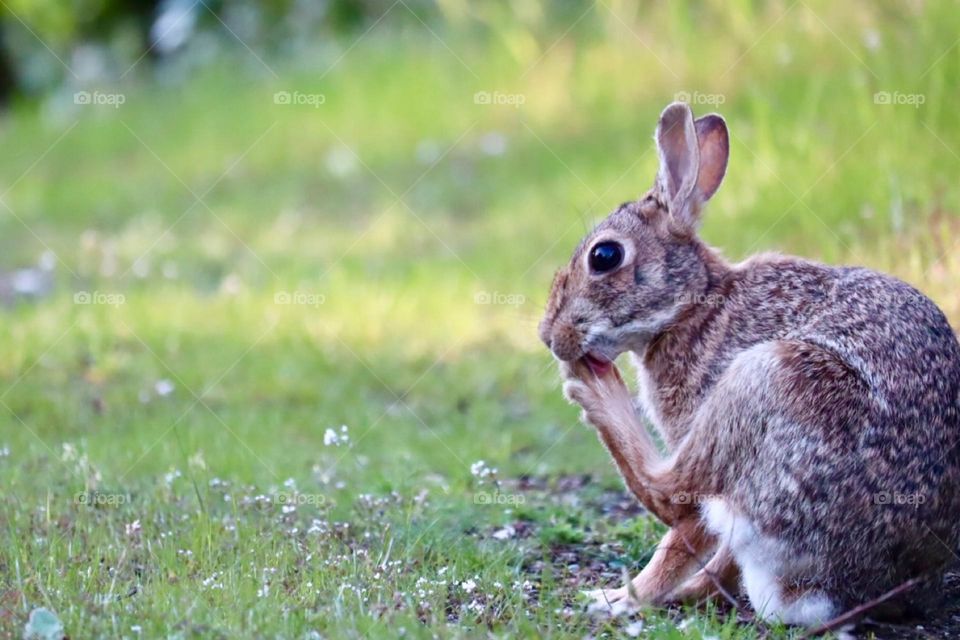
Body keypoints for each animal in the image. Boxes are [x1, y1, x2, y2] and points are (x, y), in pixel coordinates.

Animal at [536, 102, 960, 628]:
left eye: (605, 255)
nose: (550, 336)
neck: (693, 307)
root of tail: (831, 590)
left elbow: (685, 528)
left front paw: (622, 599)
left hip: (770, 378)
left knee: (672, 494)